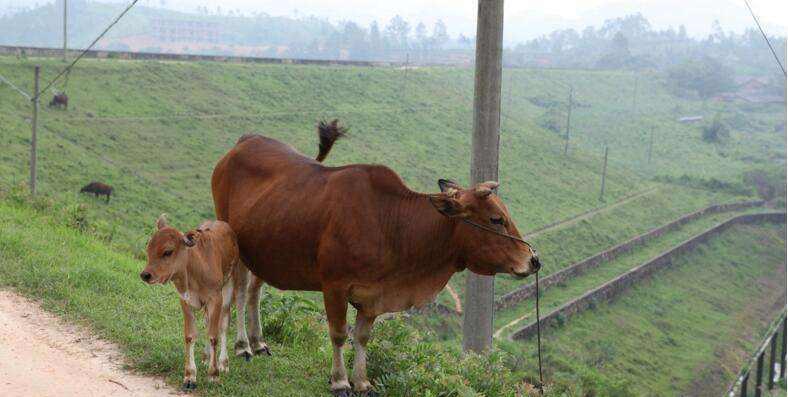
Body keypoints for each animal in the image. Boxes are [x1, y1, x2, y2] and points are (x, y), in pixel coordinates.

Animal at [140, 215, 266, 388]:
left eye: (167, 252)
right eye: (149, 248)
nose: (145, 275)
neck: (194, 272)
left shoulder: (216, 299)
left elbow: (214, 335)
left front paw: (214, 374)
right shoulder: (185, 300)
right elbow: (190, 335)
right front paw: (190, 376)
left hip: (229, 286)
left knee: (223, 325)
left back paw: (223, 363)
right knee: (207, 323)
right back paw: (206, 358)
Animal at [212, 120, 540, 396]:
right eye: (497, 219)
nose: (533, 260)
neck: (390, 223)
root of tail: (245, 140)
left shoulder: (372, 295)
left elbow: (362, 337)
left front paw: (362, 382)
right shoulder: (334, 286)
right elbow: (339, 334)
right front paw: (340, 381)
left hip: (264, 251)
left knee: (254, 292)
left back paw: (259, 342)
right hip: (235, 245)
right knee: (239, 293)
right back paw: (243, 346)